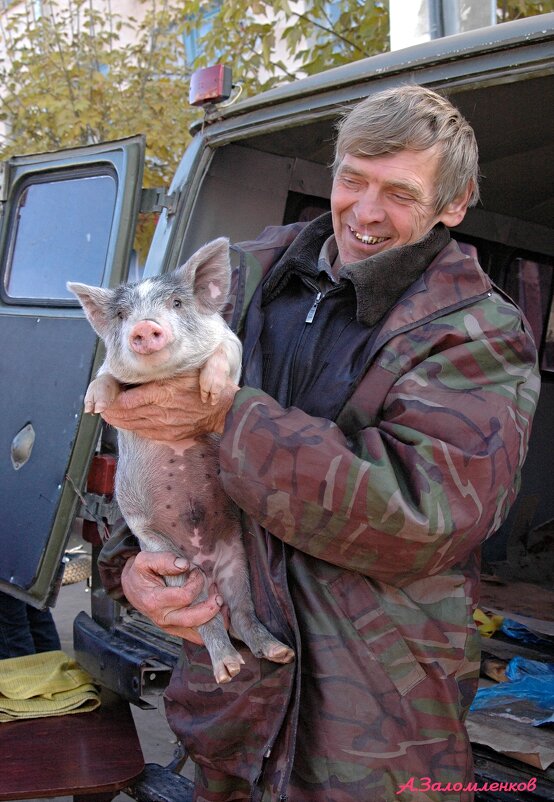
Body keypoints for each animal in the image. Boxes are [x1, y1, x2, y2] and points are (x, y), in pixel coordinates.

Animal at [66, 238, 294, 680]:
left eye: (175, 302)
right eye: (122, 315)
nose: (144, 326)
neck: (166, 374)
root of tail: (203, 561)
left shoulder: (230, 342)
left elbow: (224, 357)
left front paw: (210, 391)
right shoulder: (111, 368)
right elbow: (104, 376)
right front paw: (93, 405)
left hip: (235, 561)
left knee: (242, 615)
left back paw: (278, 654)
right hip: (169, 561)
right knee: (210, 620)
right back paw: (229, 669)